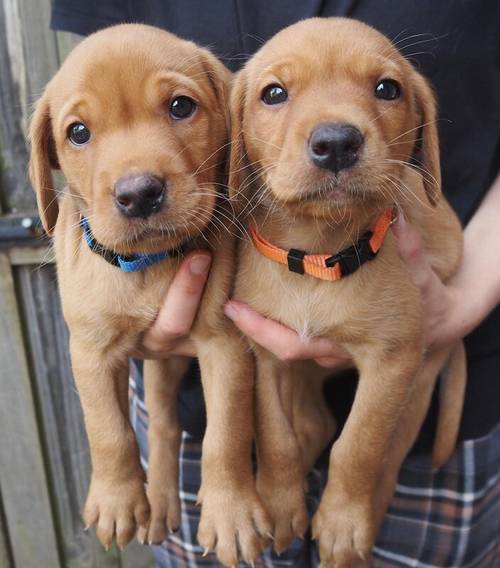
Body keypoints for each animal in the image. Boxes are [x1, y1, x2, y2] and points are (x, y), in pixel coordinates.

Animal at [28, 23, 270, 564]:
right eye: (78, 132)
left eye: (181, 106)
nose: (139, 193)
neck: (149, 265)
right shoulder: (91, 351)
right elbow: (108, 431)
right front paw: (116, 499)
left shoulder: (225, 345)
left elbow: (226, 433)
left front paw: (231, 511)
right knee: (157, 424)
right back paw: (154, 504)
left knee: (165, 424)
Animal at [229, 16, 466, 564]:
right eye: (274, 93)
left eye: (387, 89)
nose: (336, 142)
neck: (317, 260)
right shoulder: (265, 354)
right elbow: (275, 437)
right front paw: (280, 503)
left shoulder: (393, 361)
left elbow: (359, 446)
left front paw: (341, 523)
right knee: (313, 424)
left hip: (420, 383)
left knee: (387, 462)